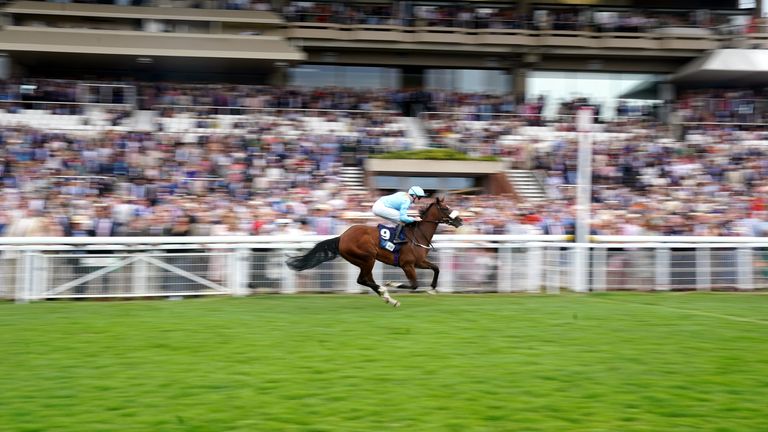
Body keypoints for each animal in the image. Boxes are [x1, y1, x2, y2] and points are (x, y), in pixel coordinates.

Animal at [286, 197, 462, 306]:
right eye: (445, 208)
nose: (460, 220)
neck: (417, 235)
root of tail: (342, 237)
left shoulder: (419, 262)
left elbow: (436, 268)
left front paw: (432, 289)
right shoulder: (407, 265)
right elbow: (414, 285)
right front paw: (391, 283)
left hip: (364, 261)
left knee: (366, 280)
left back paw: (388, 298)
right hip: (367, 258)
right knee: (362, 280)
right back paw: (385, 291)